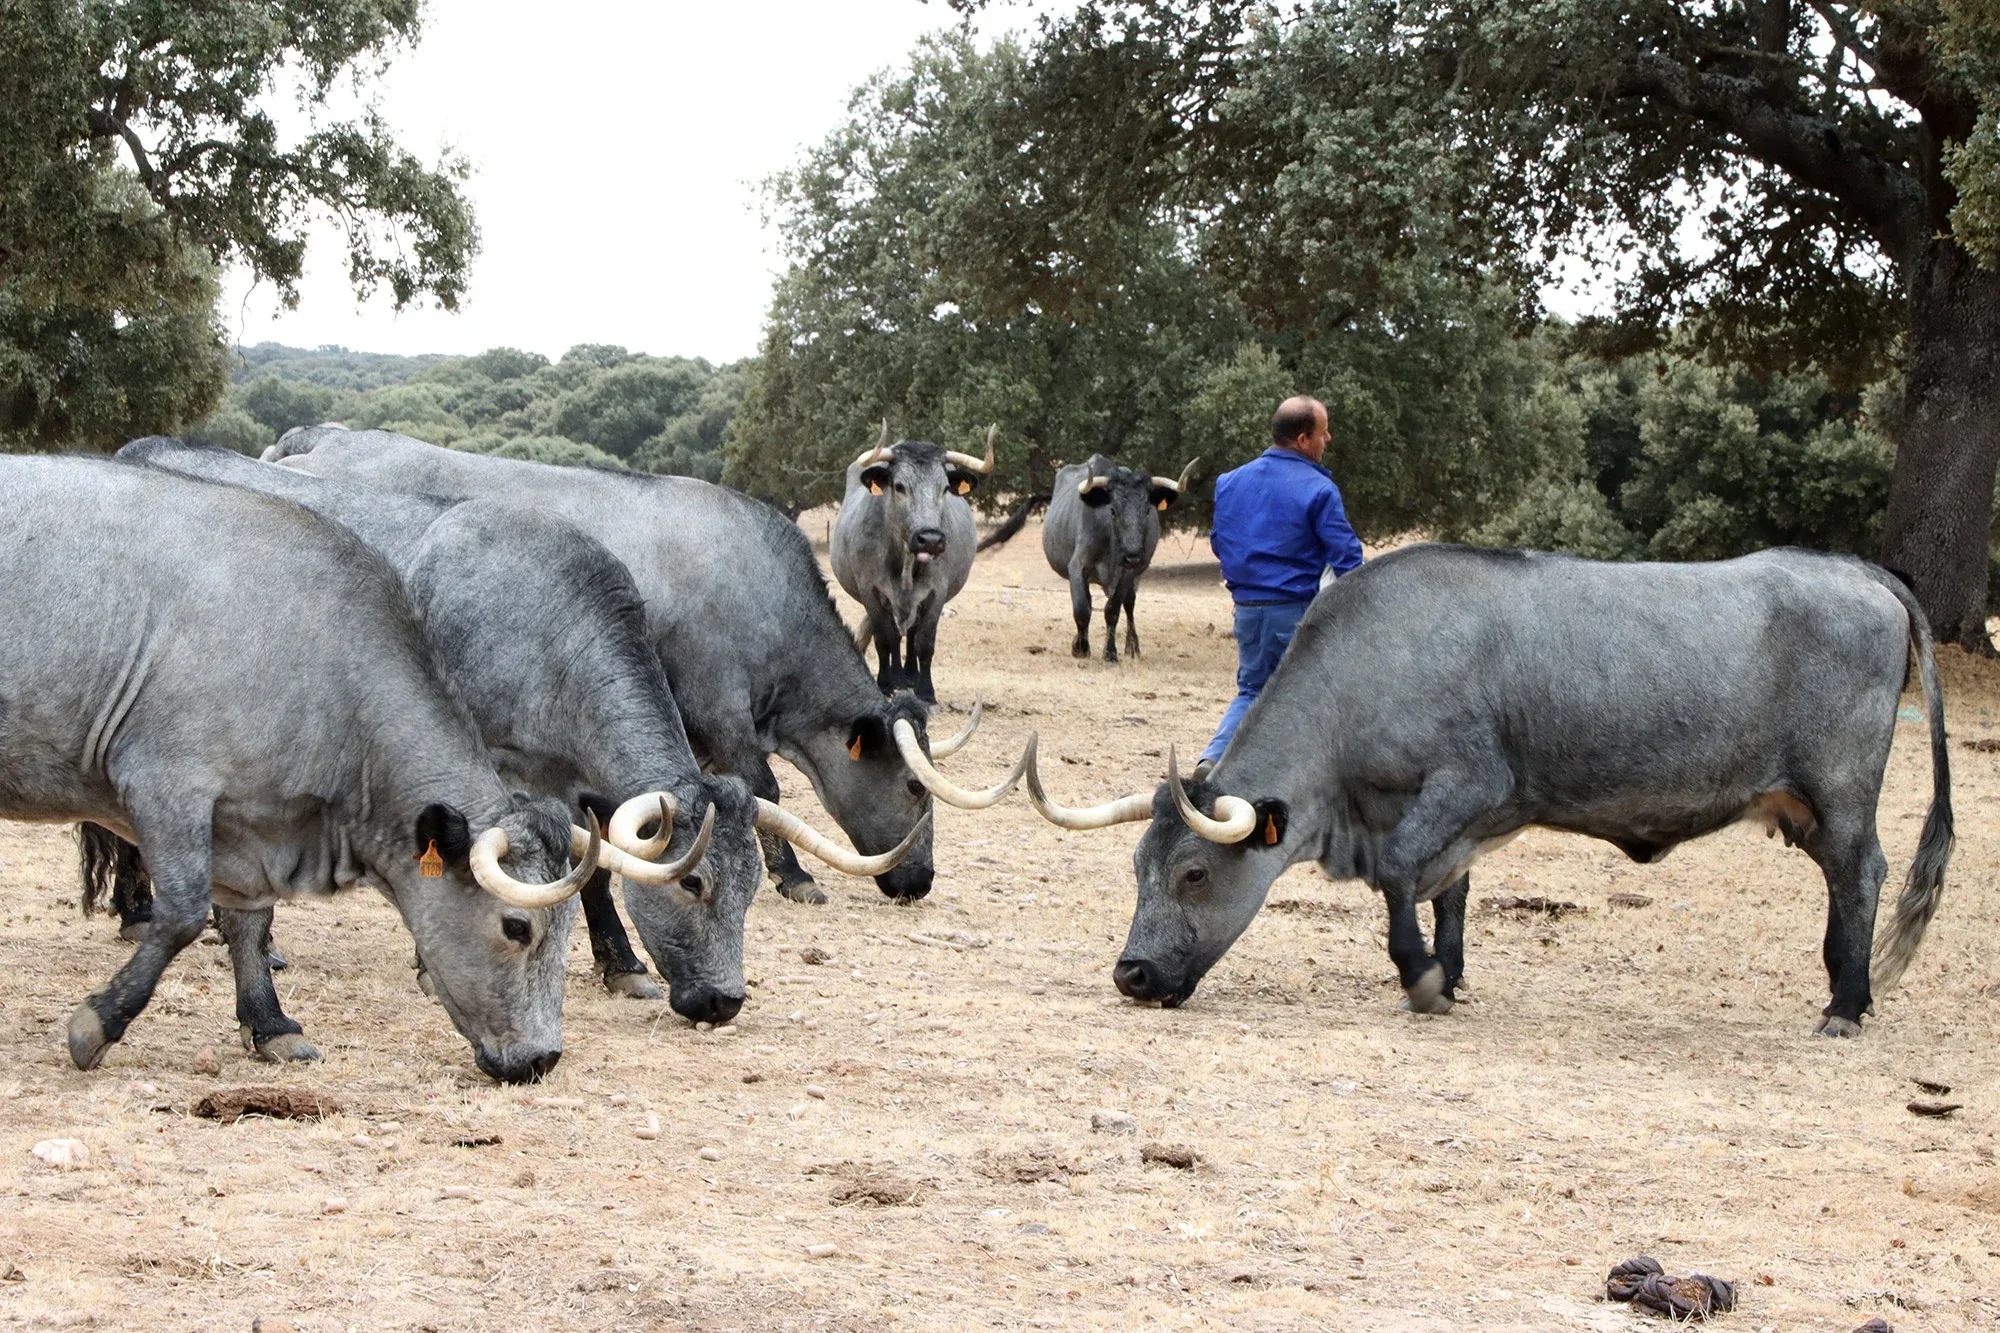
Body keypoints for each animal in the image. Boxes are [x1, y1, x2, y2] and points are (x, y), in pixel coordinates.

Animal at [0, 455, 607, 1080]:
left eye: (568, 931)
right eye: (517, 927)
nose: (542, 1057)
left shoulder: (246, 822)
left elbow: (248, 922)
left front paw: (270, 1023)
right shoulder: (166, 786)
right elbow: (185, 914)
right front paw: (100, 1021)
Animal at [103, 440, 922, 1027]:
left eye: (748, 889)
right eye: (695, 883)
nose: (723, 1001)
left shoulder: (571, 780)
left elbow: (592, 867)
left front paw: (621, 963)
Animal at [830, 425, 994, 701]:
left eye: (944, 488)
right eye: (899, 486)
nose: (930, 539)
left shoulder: (936, 592)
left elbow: (924, 642)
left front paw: (926, 690)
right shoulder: (871, 590)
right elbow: (885, 639)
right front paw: (885, 683)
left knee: (911, 636)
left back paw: (909, 675)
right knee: (896, 636)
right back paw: (898, 676)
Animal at [1021, 544, 1953, 1036]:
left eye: (1193, 873)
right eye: (1136, 871)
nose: (1132, 973)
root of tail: (1856, 570)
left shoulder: (1468, 782)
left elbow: (1403, 873)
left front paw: (1422, 976)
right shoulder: (1457, 820)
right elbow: (1450, 890)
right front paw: (1451, 967)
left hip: (1842, 790)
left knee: (1862, 872)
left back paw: (1846, 1000)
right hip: (1808, 804)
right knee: (1843, 878)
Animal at [1039, 455, 1197, 663]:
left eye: (1147, 510)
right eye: (1113, 510)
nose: (1133, 555)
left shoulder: (1126, 574)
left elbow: (1113, 610)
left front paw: (1110, 653)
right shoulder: (1077, 566)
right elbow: (1081, 609)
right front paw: (1080, 647)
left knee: (1129, 604)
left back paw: (1132, 647)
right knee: (1089, 602)